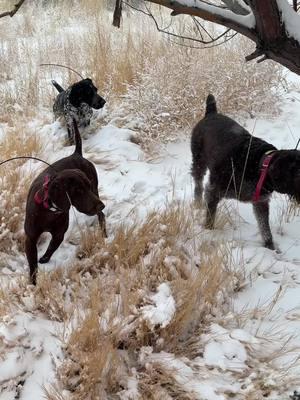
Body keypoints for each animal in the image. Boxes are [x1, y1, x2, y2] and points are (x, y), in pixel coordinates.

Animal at [24, 119, 106, 284]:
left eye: (87, 185)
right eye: (78, 190)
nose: (102, 205)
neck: (50, 211)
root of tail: (77, 154)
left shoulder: (59, 234)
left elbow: (50, 248)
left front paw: (44, 259)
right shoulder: (30, 238)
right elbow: (33, 264)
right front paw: (33, 283)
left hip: (96, 192)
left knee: (102, 216)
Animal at [191, 94, 300, 250]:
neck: (260, 167)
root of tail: (211, 113)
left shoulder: (261, 203)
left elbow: (265, 230)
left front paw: (271, 248)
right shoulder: (213, 191)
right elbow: (210, 218)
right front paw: (208, 233)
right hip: (199, 161)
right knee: (198, 183)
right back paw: (197, 202)